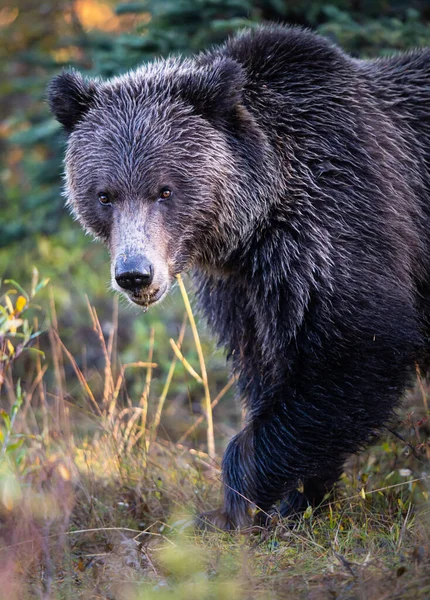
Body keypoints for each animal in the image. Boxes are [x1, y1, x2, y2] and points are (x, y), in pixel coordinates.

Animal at [47, 25, 430, 528]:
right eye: (104, 195)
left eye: (164, 190)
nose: (135, 274)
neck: (254, 225)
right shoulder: (243, 291)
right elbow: (269, 371)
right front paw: (302, 498)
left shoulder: (336, 218)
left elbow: (359, 344)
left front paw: (239, 503)